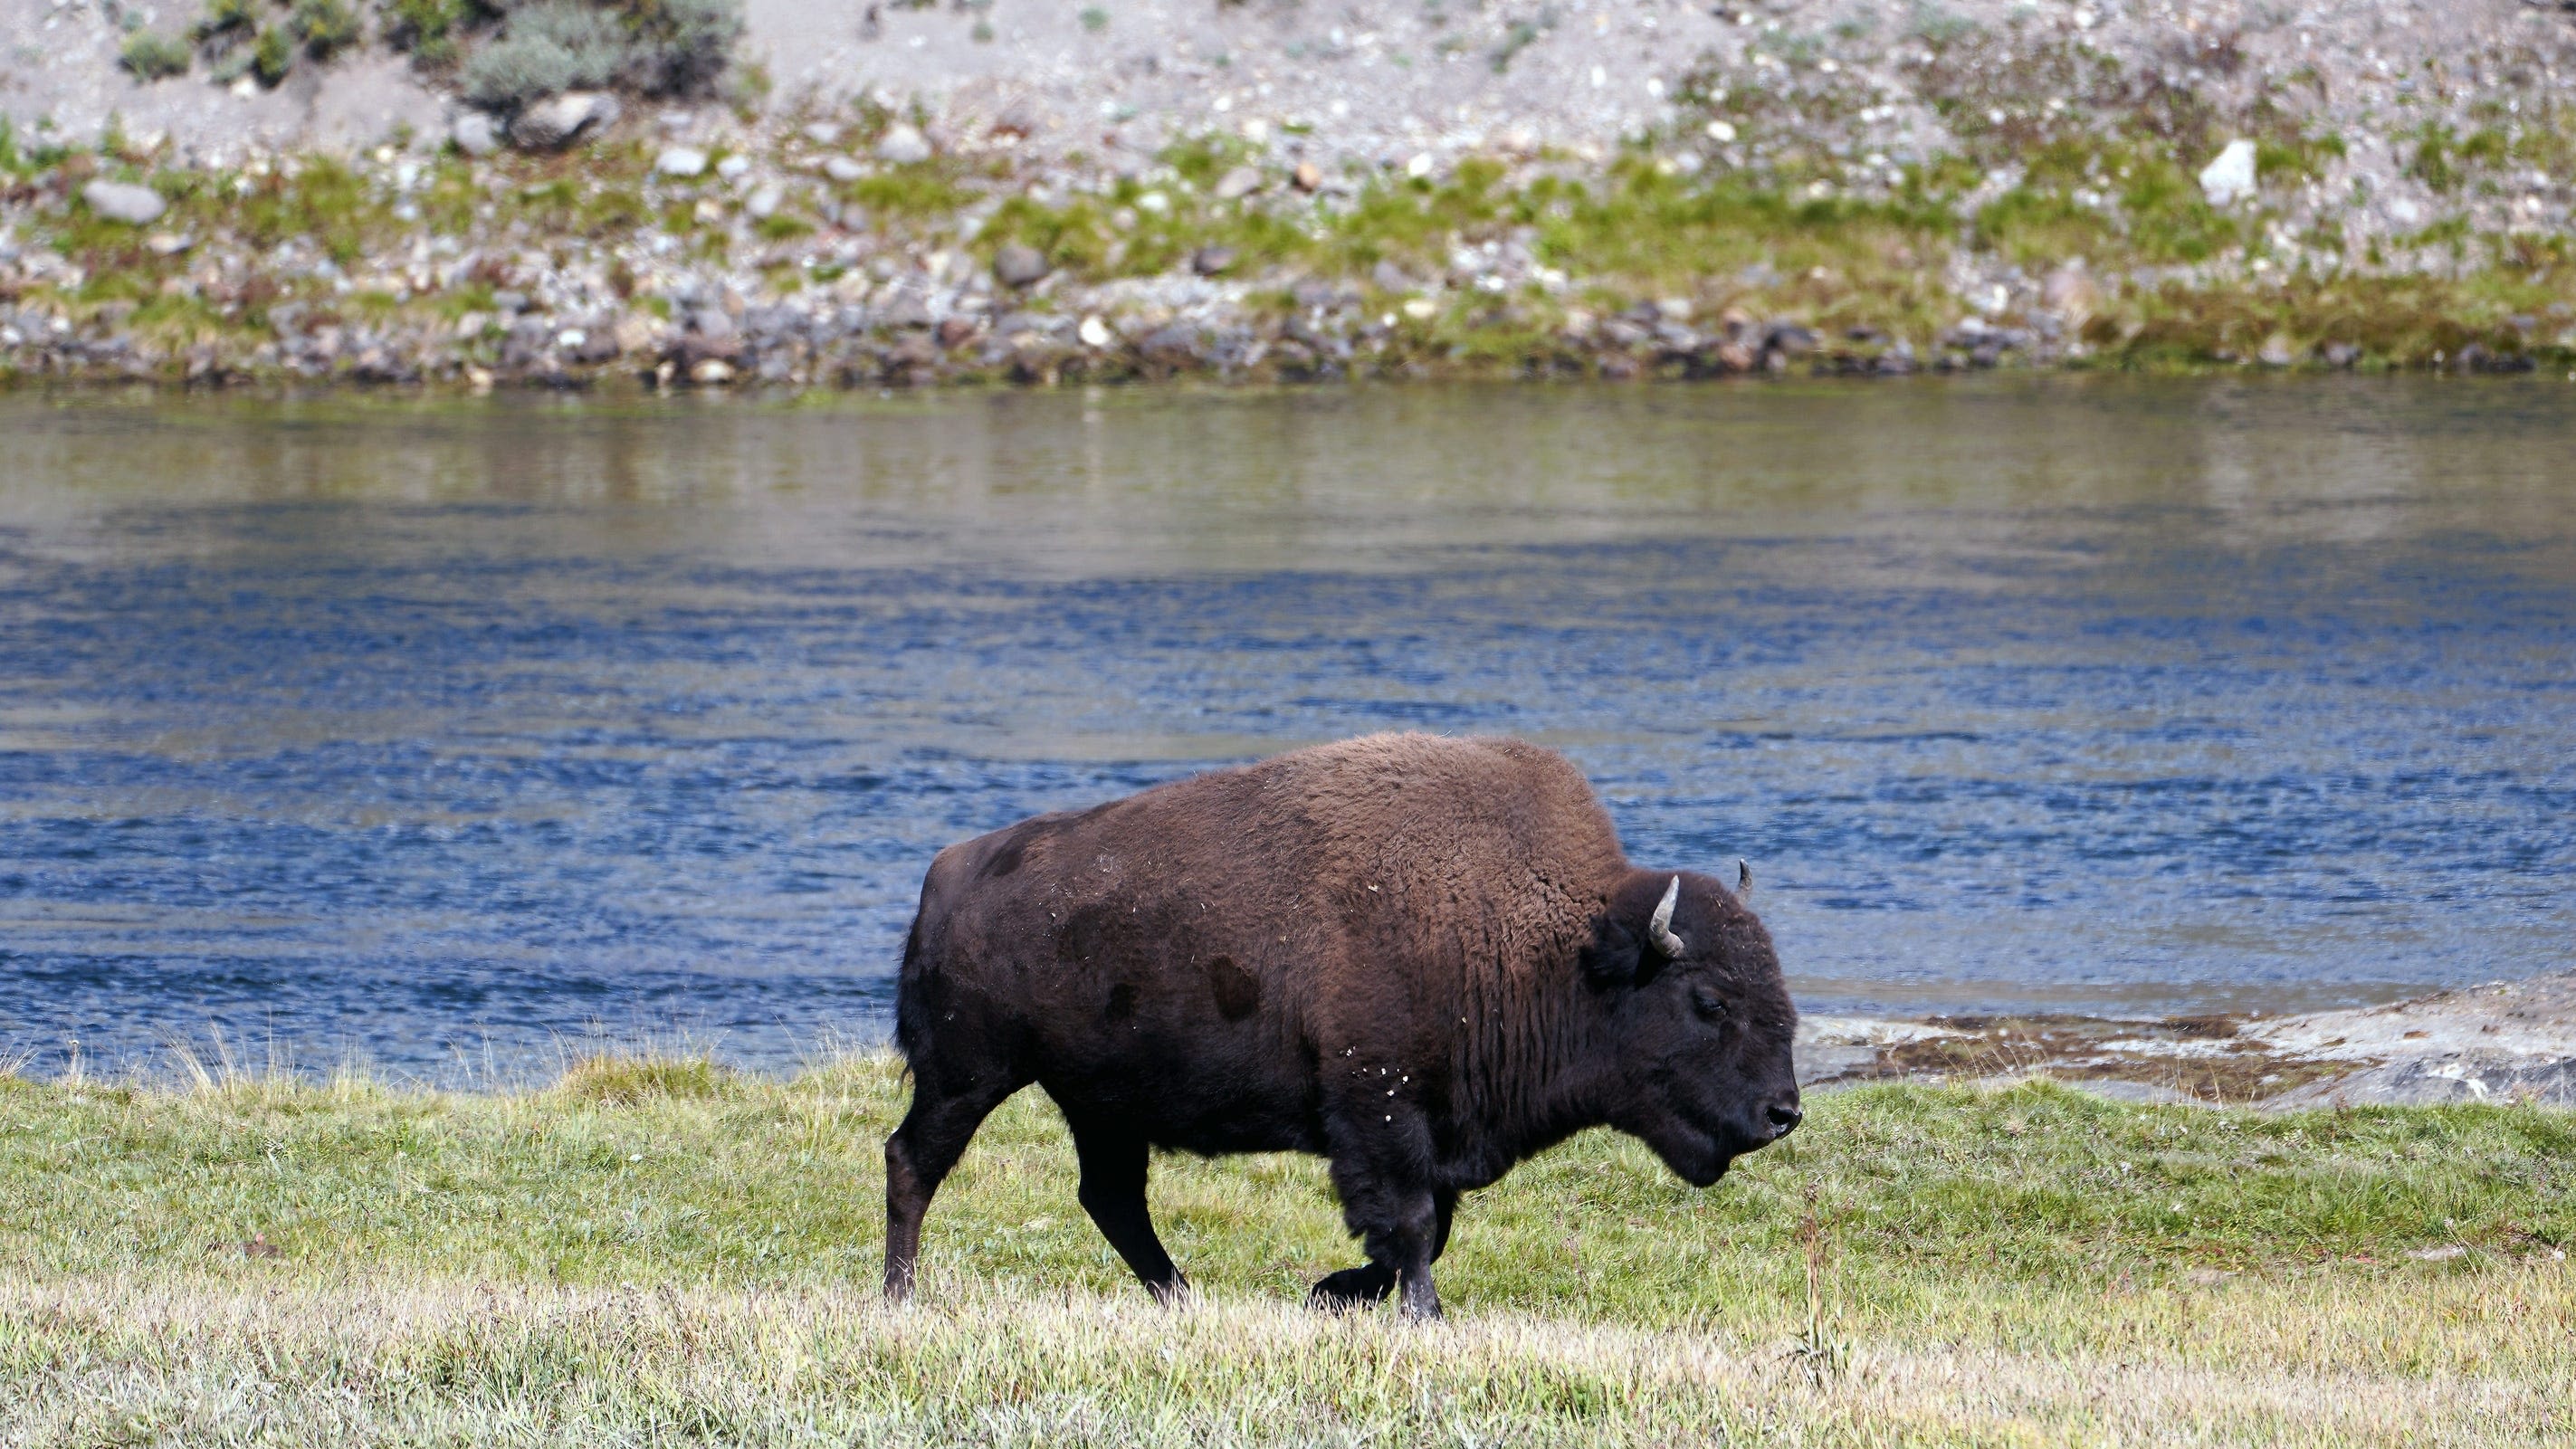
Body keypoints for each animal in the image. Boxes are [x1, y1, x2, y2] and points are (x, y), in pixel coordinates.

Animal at [896, 736, 1803, 1317]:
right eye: (1711, 1001)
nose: (1784, 1112)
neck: (1553, 941)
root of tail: (947, 875)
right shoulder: (1379, 1109)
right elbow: (1409, 1224)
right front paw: (1420, 1315)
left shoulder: (1434, 1128)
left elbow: (1426, 1228)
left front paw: (1331, 1293)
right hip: (967, 1076)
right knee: (913, 1162)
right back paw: (900, 1296)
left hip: (1103, 1103)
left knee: (1111, 1197)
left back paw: (1182, 1297)